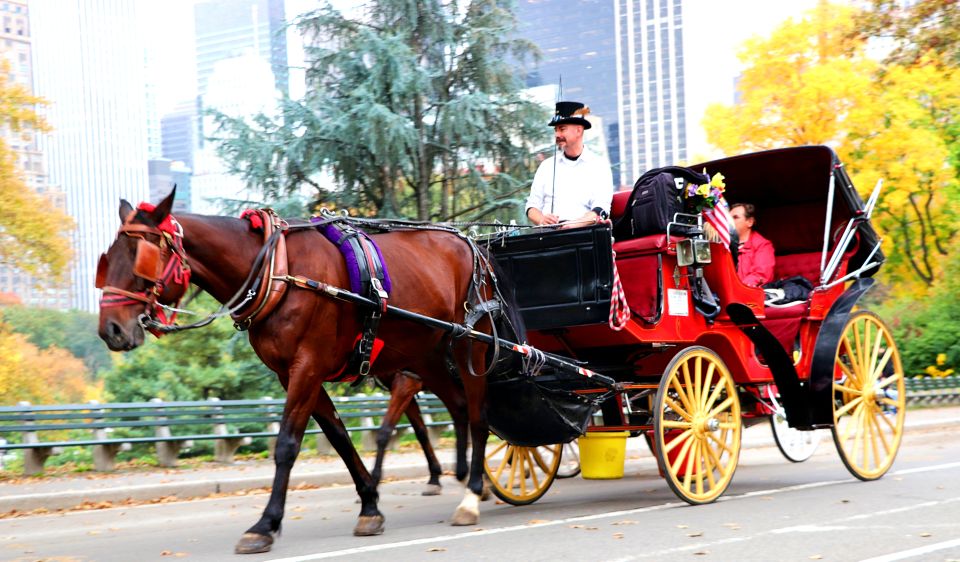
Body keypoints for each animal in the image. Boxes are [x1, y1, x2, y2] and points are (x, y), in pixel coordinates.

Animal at [94, 188, 520, 552]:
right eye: (107, 258)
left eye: (140, 257)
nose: (110, 330)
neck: (278, 272)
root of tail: (471, 245)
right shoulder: (293, 373)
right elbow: (339, 437)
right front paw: (370, 504)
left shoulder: (308, 367)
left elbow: (287, 444)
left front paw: (265, 524)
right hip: (427, 355)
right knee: (460, 406)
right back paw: (471, 481)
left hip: (471, 344)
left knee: (478, 415)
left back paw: (471, 494)